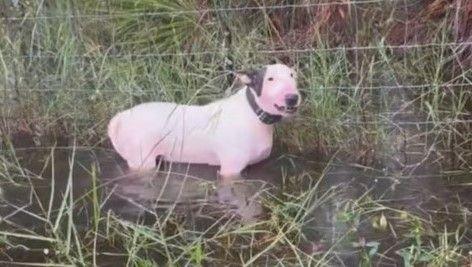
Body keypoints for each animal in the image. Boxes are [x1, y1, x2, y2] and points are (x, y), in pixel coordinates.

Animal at [108, 63, 298, 180]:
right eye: (270, 79)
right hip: (141, 161)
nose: (293, 98)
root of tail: (120, 117)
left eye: (292, 75)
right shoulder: (230, 169)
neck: (253, 114)